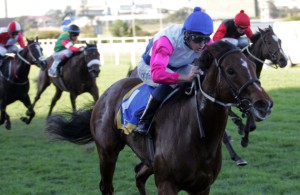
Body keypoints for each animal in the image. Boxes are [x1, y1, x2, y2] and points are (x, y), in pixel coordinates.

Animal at [45, 41, 274, 193]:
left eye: (252, 66)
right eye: (231, 70)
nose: (264, 104)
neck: (197, 134)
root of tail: (107, 93)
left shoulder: (202, 187)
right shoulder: (167, 184)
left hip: (148, 160)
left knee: (138, 174)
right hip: (107, 152)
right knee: (106, 186)